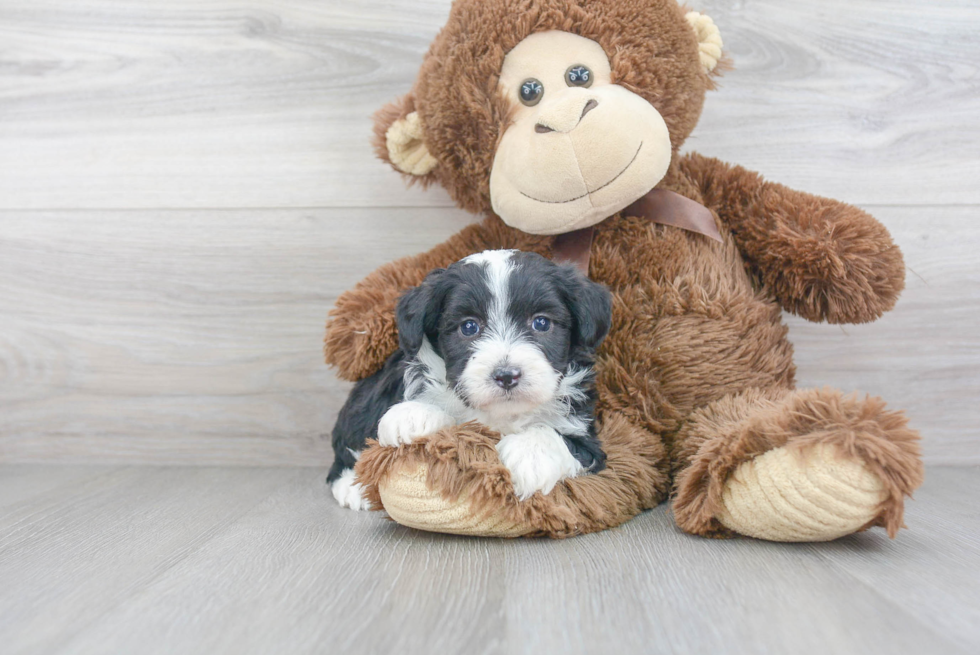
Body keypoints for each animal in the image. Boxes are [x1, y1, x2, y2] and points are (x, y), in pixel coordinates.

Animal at [330, 249, 612, 510]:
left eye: (541, 323)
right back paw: (353, 486)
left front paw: (529, 456)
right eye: (469, 327)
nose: (506, 375)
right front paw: (412, 415)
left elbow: (561, 437)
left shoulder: (587, 437)